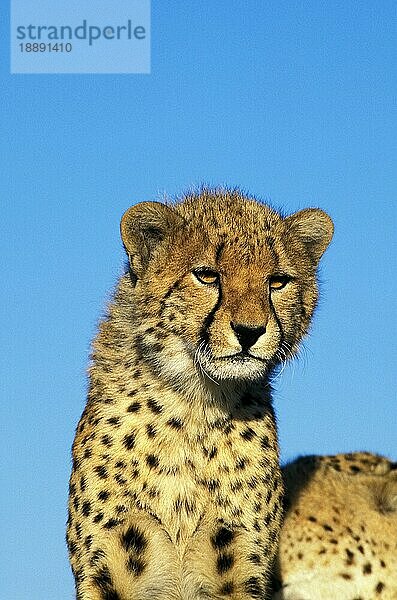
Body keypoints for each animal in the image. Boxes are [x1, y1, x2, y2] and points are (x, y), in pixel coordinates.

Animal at [66, 185, 332, 596]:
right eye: (206, 275)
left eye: (277, 281)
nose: (250, 331)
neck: (192, 405)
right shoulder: (102, 569)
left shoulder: (243, 569)